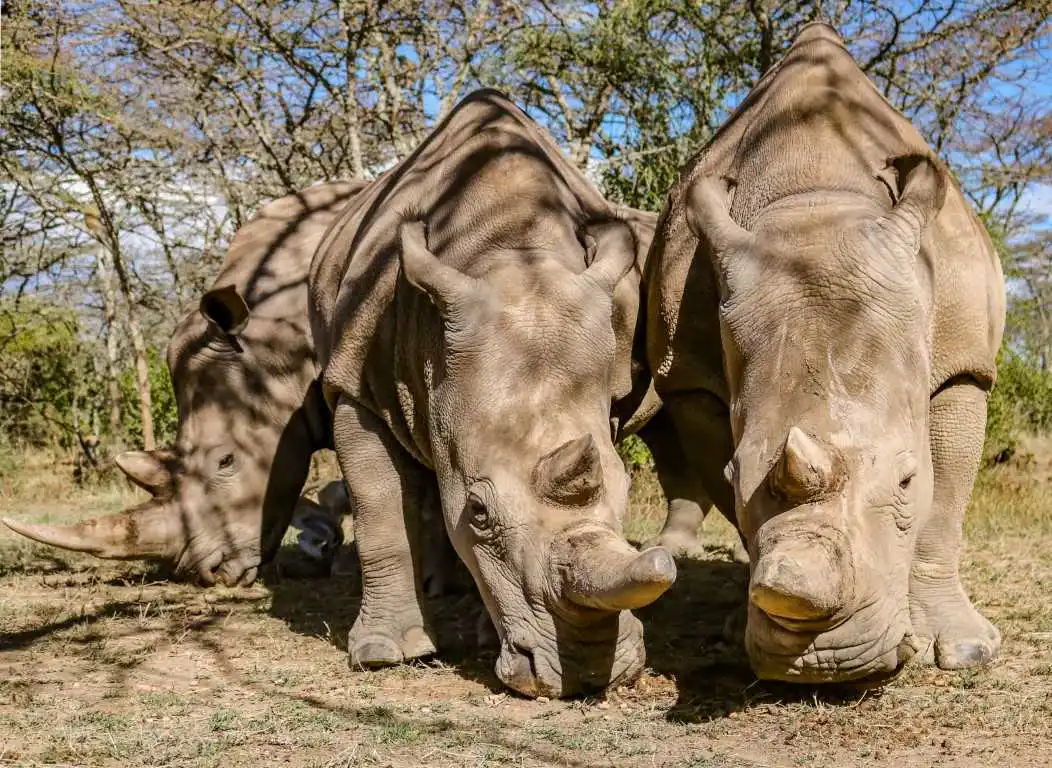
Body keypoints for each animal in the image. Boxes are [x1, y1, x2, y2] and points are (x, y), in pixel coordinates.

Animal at [309, 89, 675, 698]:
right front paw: (384, 654)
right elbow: (378, 505)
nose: (585, 677)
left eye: (627, 492)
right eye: (478, 513)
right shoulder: (354, 384)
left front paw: (485, 635)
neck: (507, 249)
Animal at [643, 24, 1005, 683]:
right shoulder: (690, 378)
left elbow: (944, 506)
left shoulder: (964, 364)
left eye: (907, 478)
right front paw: (739, 631)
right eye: (735, 473)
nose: (824, 663)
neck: (814, 201)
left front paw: (964, 650)